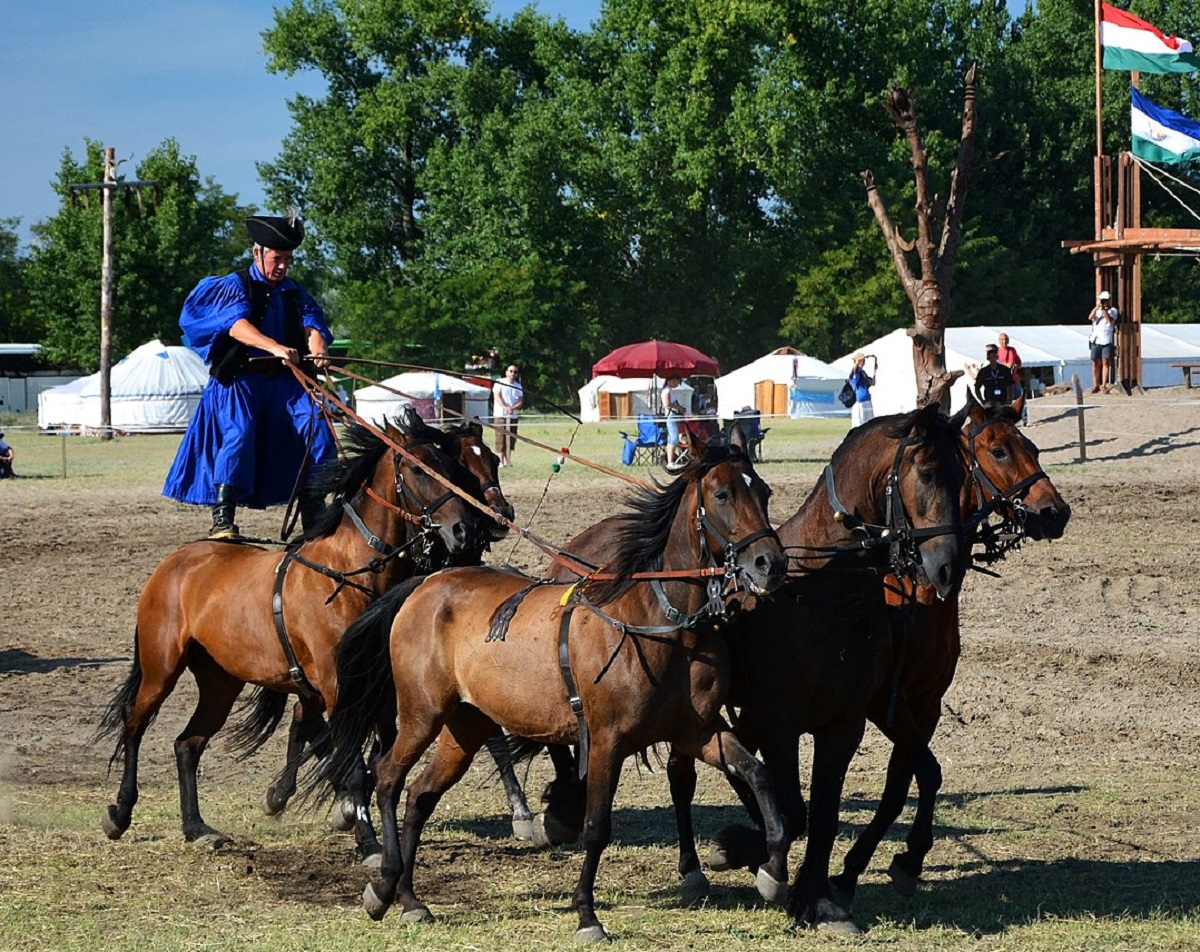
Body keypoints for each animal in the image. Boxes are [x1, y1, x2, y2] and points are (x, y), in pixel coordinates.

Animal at [96, 412, 477, 849]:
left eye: (449, 468)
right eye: (417, 470)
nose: (463, 531)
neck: (348, 573)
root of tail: (176, 561)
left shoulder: (375, 691)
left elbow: (375, 757)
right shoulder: (336, 686)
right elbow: (353, 766)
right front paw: (368, 843)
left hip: (220, 681)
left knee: (188, 744)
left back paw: (196, 827)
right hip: (161, 668)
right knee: (134, 722)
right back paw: (121, 812)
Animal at [314, 441, 792, 941]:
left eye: (764, 491)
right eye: (722, 494)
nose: (770, 563)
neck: (661, 623)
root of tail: (425, 584)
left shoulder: (697, 732)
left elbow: (759, 775)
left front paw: (773, 872)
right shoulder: (606, 741)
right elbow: (597, 826)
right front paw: (587, 914)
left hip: (465, 725)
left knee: (420, 795)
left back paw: (409, 897)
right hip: (422, 714)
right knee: (388, 777)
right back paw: (384, 883)